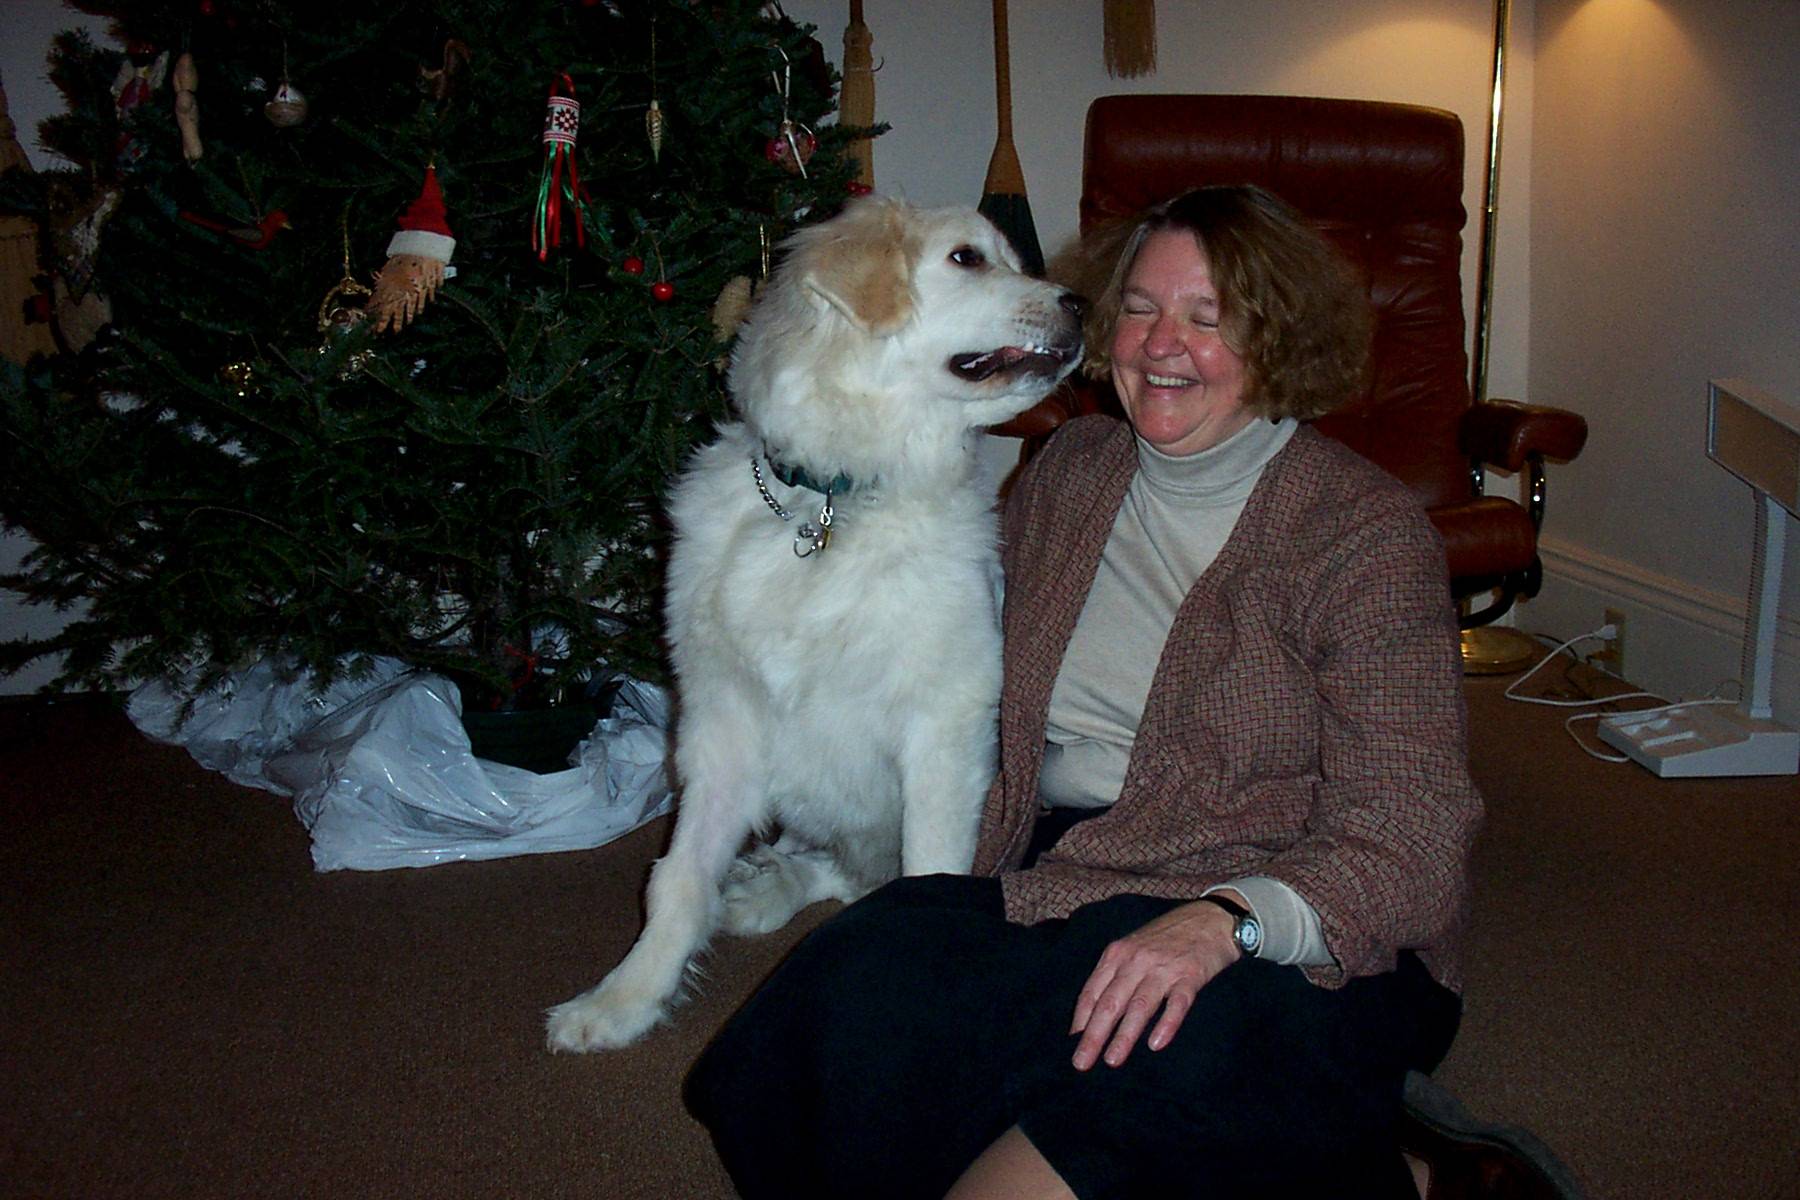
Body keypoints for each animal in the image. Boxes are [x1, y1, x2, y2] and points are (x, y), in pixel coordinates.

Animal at [545, 196, 1084, 1052]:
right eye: (967, 259)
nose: (1082, 305)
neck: (831, 504)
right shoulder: (723, 726)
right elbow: (675, 879)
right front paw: (621, 1001)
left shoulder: (944, 728)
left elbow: (925, 876)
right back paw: (758, 889)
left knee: (860, 877)